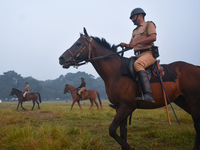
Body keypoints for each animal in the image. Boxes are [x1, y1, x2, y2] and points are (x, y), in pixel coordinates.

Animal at [59, 28, 200, 150]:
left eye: (78, 43)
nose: (61, 58)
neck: (115, 72)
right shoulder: (119, 107)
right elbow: (122, 132)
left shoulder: (127, 106)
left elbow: (112, 130)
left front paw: (130, 147)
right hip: (182, 101)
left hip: (193, 102)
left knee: (197, 124)